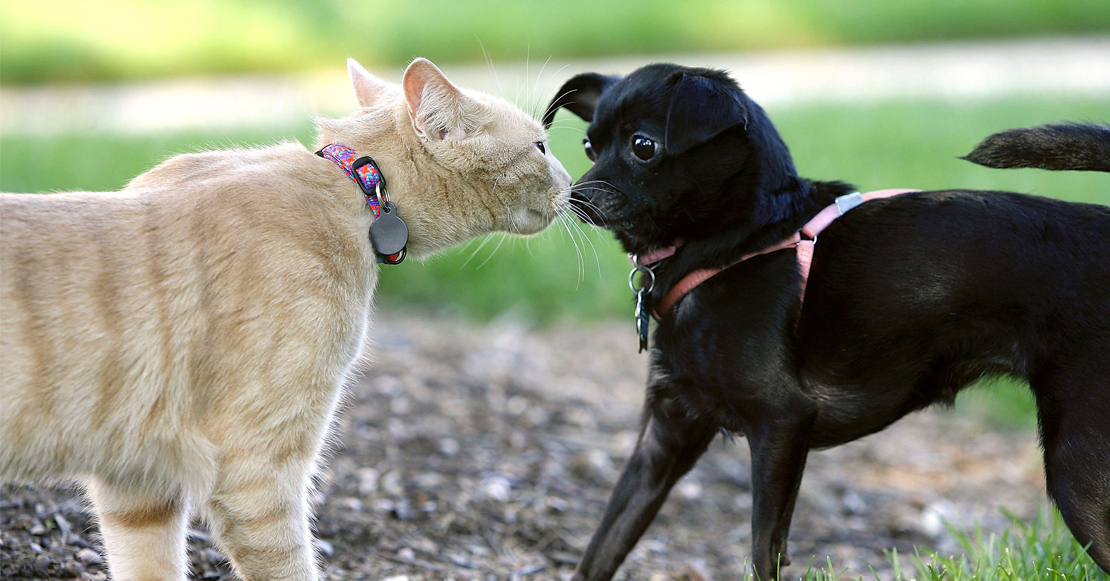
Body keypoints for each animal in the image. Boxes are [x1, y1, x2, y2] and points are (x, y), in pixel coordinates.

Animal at [0, 58, 572, 581]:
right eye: (541, 148)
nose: (573, 182)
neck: (355, 186)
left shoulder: (137, 479)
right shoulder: (255, 469)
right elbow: (290, 563)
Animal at [543, 64, 1110, 581]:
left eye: (643, 146)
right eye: (591, 147)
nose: (576, 195)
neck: (738, 243)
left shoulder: (781, 425)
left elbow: (763, 550)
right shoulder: (663, 439)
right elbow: (603, 546)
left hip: (1077, 473)